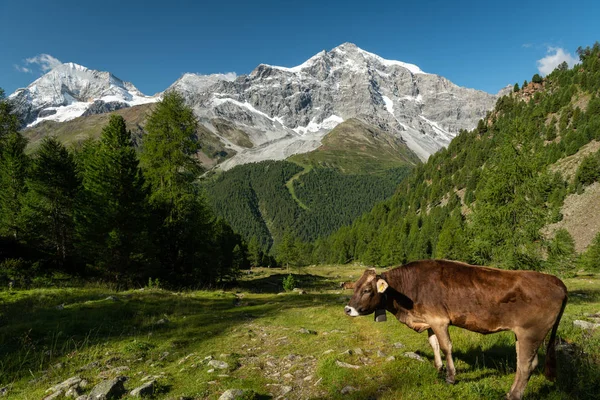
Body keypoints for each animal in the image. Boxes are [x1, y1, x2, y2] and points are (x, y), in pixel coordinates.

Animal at [344, 260, 568, 398]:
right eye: (355, 287)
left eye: (367, 290)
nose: (347, 309)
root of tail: (556, 281)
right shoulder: (429, 320)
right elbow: (433, 344)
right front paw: (438, 369)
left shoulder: (439, 320)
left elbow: (446, 347)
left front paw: (451, 377)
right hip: (523, 335)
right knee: (528, 362)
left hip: (531, 332)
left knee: (525, 365)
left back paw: (512, 395)